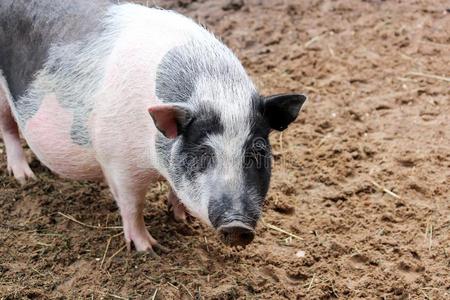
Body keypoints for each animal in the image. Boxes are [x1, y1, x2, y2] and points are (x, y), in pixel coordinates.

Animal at [0, 1, 306, 256]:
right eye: (202, 154)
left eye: (258, 152)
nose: (237, 226)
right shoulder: (118, 163)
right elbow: (132, 206)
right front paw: (150, 249)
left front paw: (183, 219)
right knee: (8, 129)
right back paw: (25, 177)